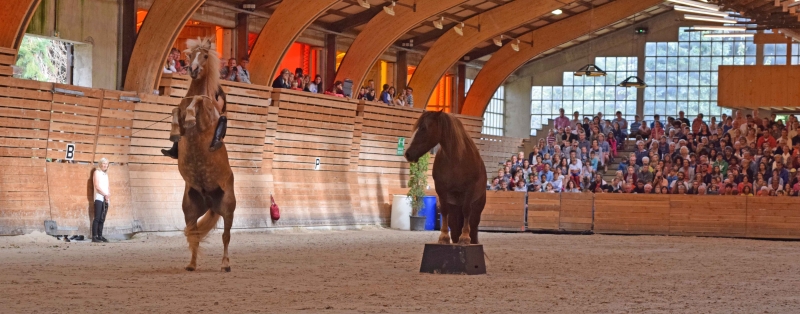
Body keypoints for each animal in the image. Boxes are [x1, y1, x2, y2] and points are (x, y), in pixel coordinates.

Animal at [166, 38, 234, 272]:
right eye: (190, 55)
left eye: (204, 56)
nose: (193, 70)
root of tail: (210, 200)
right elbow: (175, 111)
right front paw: (174, 132)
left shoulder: (204, 120)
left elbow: (196, 101)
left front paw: (189, 117)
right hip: (190, 209)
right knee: (194, 234)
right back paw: (192, 264)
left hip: (228, 209)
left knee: (226, 237)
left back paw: (225, 264)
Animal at [404, 110, 484, 245]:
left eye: (423, 128)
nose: (407, 154)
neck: (456, 159)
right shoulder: (441, 189)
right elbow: (444, 210)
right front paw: (444, 237)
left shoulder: (469, 190)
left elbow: (466, 210)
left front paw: (465, 237)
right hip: (454, 211)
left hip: (477, 210)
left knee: (473, 225)